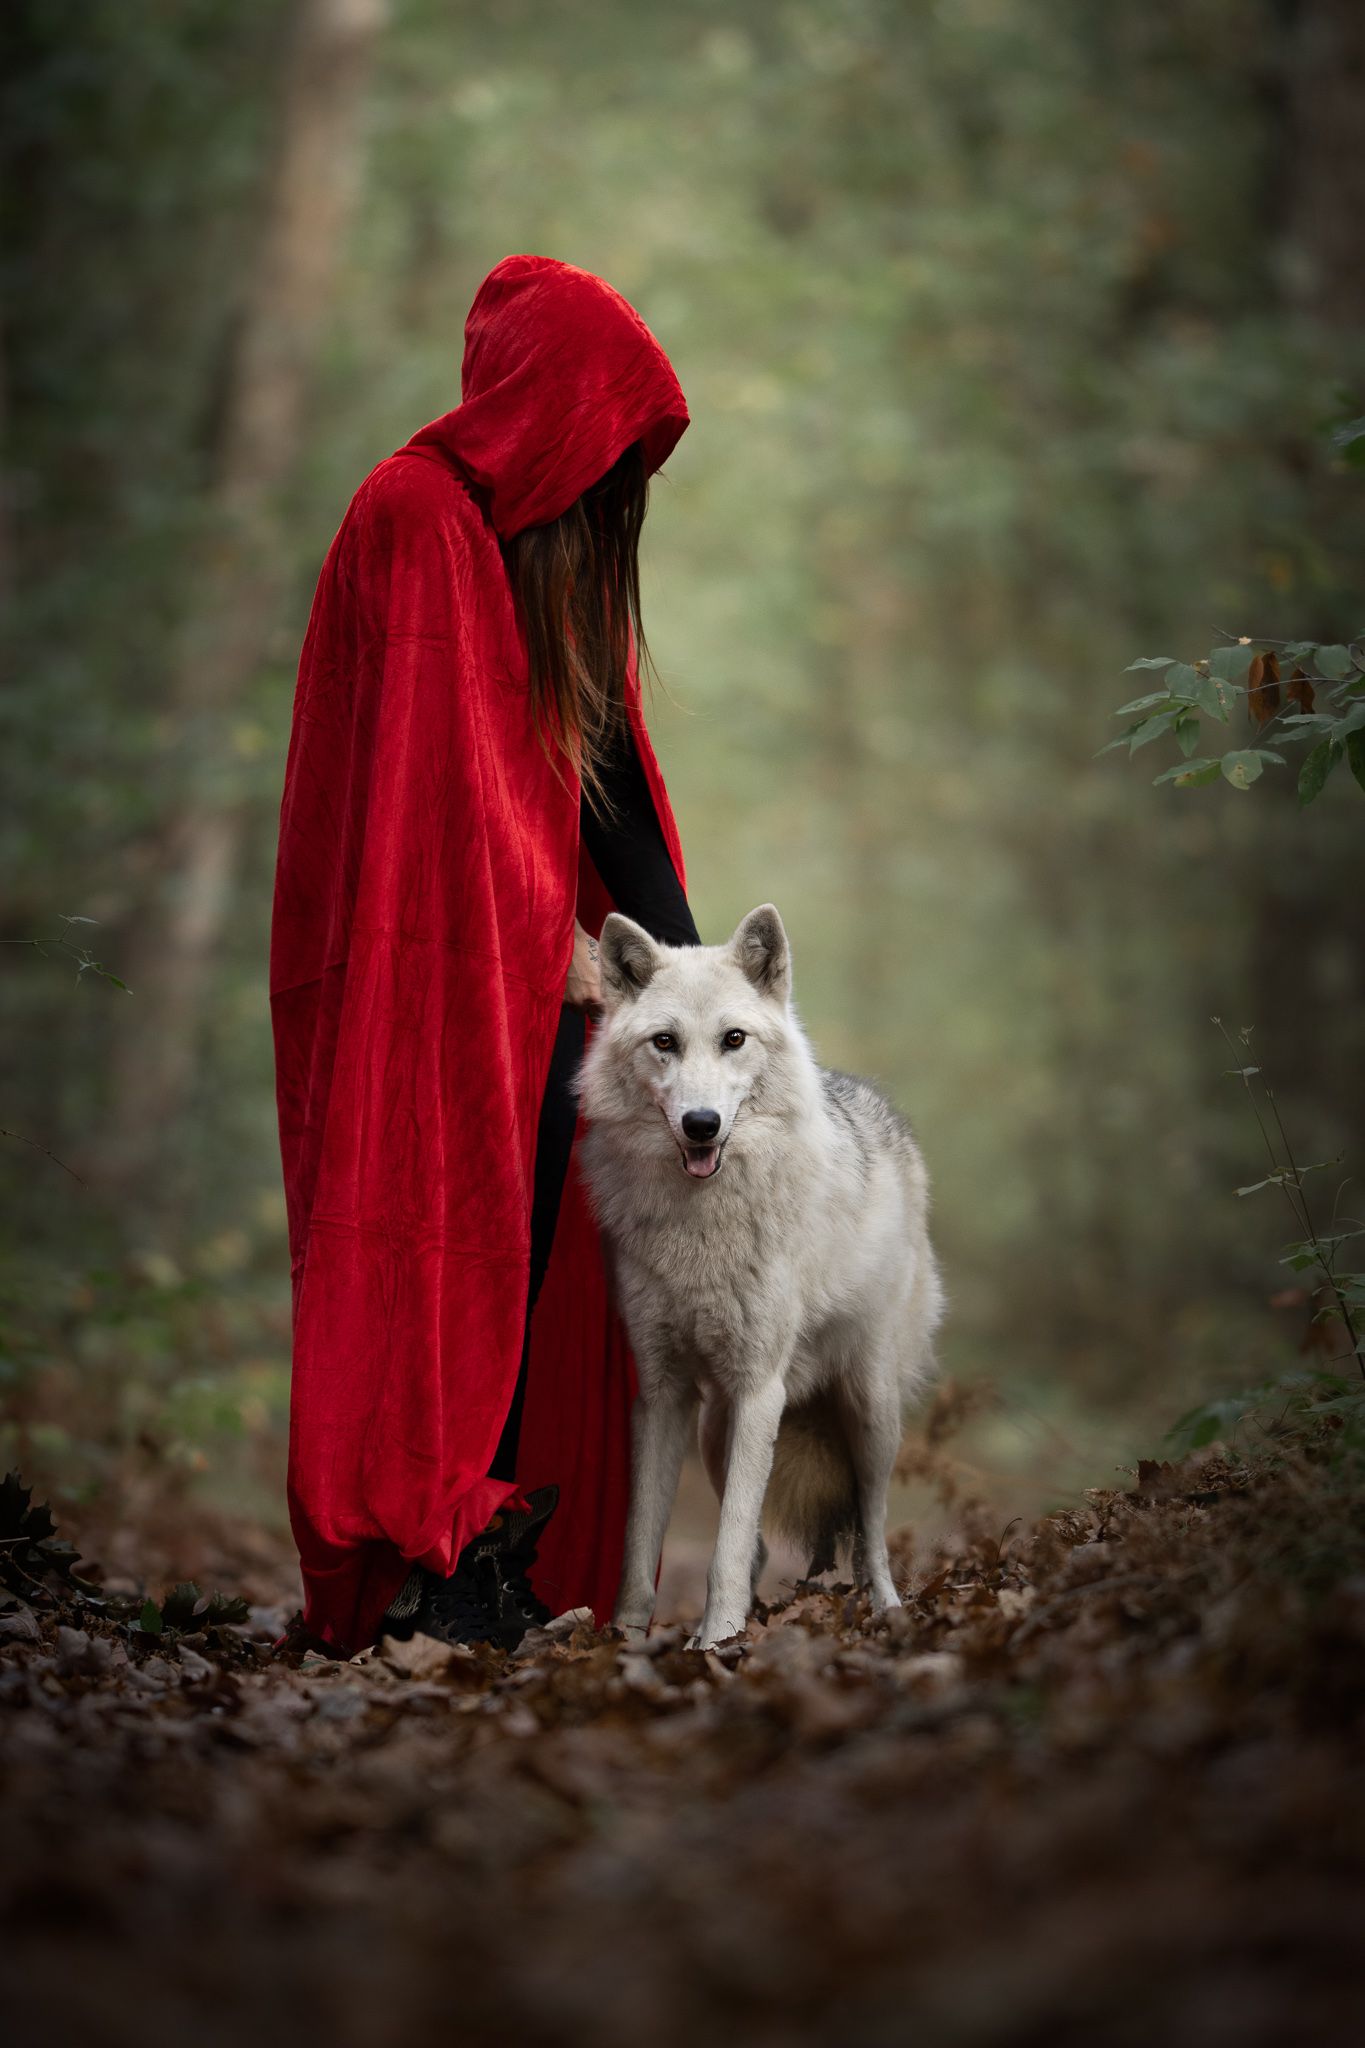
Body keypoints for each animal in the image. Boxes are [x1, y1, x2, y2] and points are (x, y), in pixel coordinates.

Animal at [575, 903, 944, 1650]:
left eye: (733, 1039)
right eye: (664, 1042)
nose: (701, 1124)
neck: (699, 1226)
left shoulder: (758, 1390)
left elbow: (727, 1544)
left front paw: (715, 1645)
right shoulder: (662, 1393)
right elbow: (643, 1543)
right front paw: (629, 1639)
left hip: (869, 1412)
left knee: (870, 1531)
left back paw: (887, 1612)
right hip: (718, 1430)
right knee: (760, 1545)